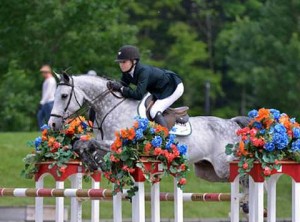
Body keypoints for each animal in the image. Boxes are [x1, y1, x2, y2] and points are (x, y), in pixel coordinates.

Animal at [48, 73, 248, 183]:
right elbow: (82, 145)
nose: (53, 124)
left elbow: (89, 143)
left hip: (224, 166)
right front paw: (91, 162)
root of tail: (232, 123)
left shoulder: (120, 144)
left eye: (64, 96)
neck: (112, 108)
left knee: (242, 177)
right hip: (208, 171)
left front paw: (91, 160)